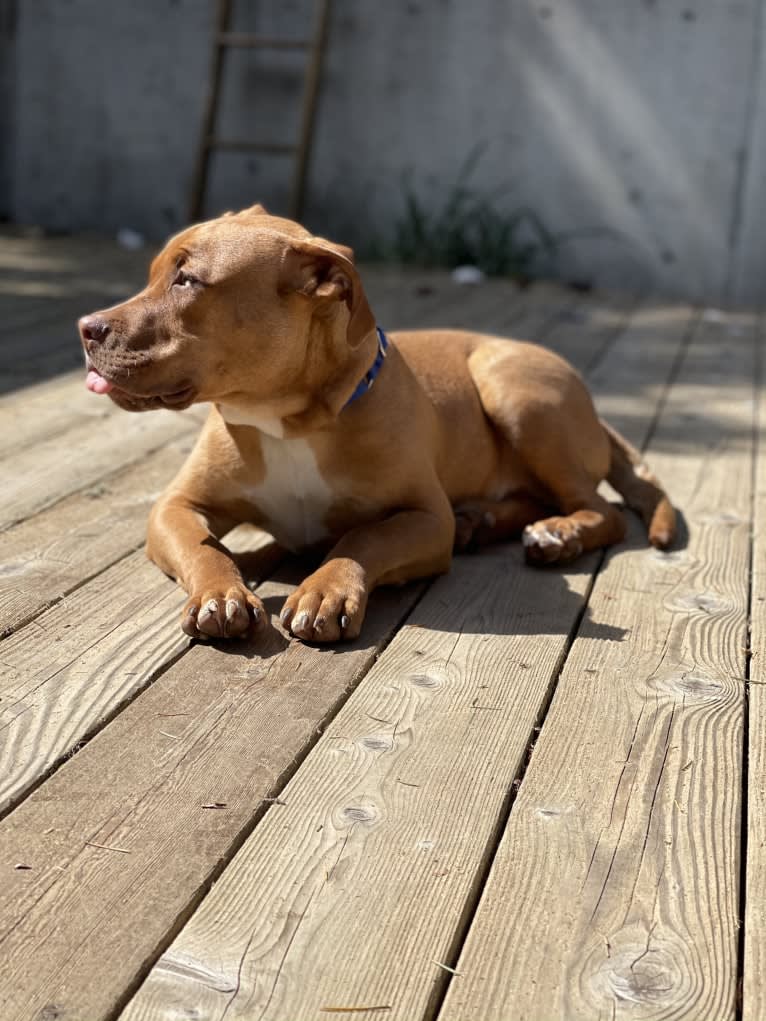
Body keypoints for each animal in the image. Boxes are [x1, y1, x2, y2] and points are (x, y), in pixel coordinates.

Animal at [79, 203, 678, 641]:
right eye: (155, 275)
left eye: (187, 282)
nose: (87, 327)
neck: (287, 421)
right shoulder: (177, 506)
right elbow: (205, 548)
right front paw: (220, 593)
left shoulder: (425, 517)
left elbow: (365, 536)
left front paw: (325, 589)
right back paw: (483, 522)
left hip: (512, 390)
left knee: (602, 510)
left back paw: (558, 533)